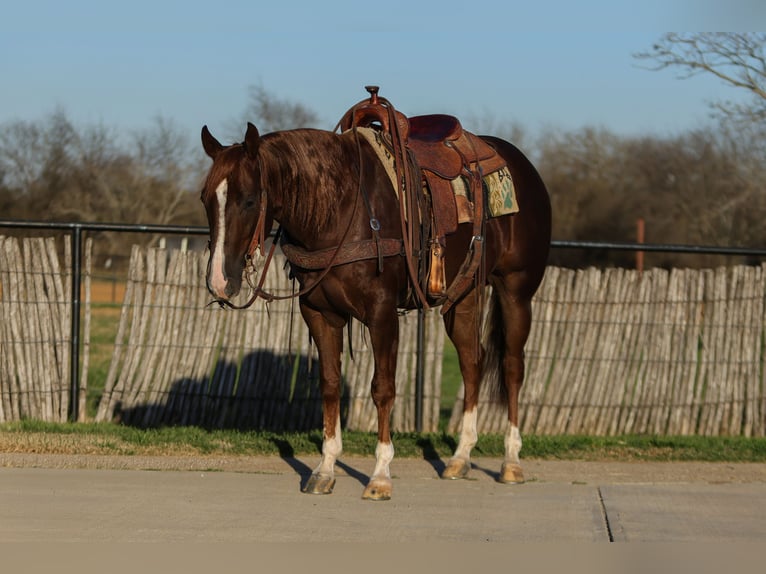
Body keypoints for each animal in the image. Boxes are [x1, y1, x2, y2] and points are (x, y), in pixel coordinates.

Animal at [199, 93, 551, 500]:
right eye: (205, 198)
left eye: (249, 200)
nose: (219, 280)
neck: (339, 211)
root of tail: (525, 167)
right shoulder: (319, 312)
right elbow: (330, 385)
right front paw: (324, 469)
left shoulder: (381, 313)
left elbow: (383, 389)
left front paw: (380, 476)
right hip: (463, 295)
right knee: (472, 362)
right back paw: (460, 459)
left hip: (516, 292)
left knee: (511, 367)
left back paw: (511, 462)